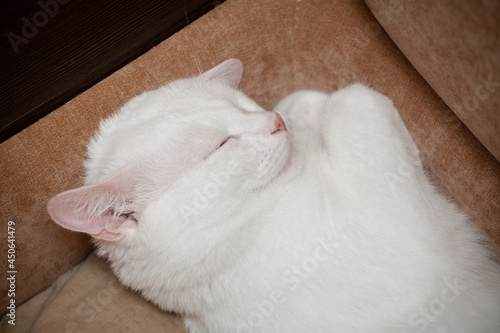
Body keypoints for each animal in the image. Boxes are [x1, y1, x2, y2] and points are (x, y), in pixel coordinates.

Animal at [47, 58, 500, 330]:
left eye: (243, 105)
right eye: (219, 145)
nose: (275, 121)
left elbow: (306, 99)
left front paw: (301, 111)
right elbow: (355, 99)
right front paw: (320, 111)